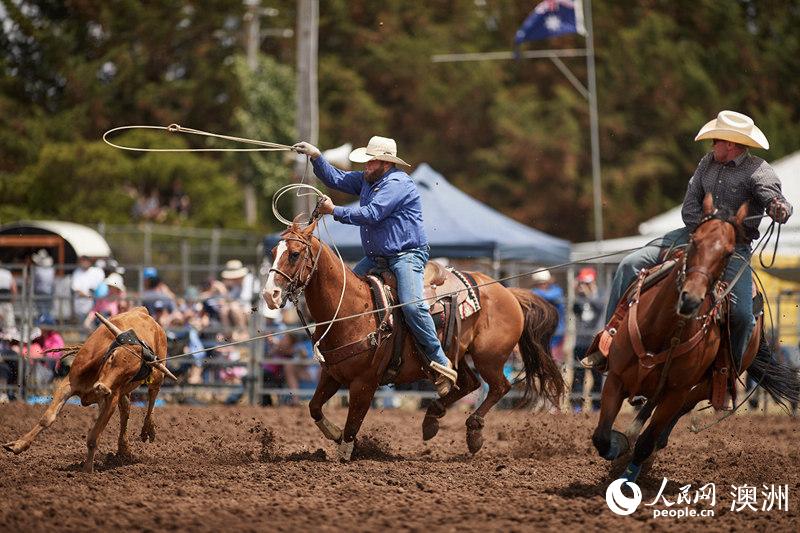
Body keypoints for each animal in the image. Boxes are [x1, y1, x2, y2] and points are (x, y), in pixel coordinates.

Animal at [1, 306, 177, 472]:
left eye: (129, 375)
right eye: (112, 357)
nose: (102, 388)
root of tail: (143, 312)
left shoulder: (111, 398)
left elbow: (94, 437)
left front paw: (87, 470)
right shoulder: (68, 384)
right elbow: (47, 418)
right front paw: (18, 445)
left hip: (157, 375)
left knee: (152, 396)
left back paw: (148, 429)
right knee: (126, 409)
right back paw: (123, 449)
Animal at [262, 220, 564, 458]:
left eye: (295, 254)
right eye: (274, 252)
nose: (269, 294)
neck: (352, 310)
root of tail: (509, 291)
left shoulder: (364, 383)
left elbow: (353, 424)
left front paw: (344, 451)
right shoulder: (331, 374)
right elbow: (314, 407)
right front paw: (334, 433)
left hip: (489, 357)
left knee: (499, 386)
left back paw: (473, 432)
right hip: (455, 355)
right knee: (467, 382)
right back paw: (432, 418)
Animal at [592, 196, 800, 482]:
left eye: (728, 253)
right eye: (694, 241)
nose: (690, 299)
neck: (664, 333)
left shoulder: (676, 392)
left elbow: (646, 443)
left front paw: (628, 474)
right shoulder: (615, 378)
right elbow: (601, 437)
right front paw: (618, 446)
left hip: (709, 383)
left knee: (674, 414)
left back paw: (654, 441)